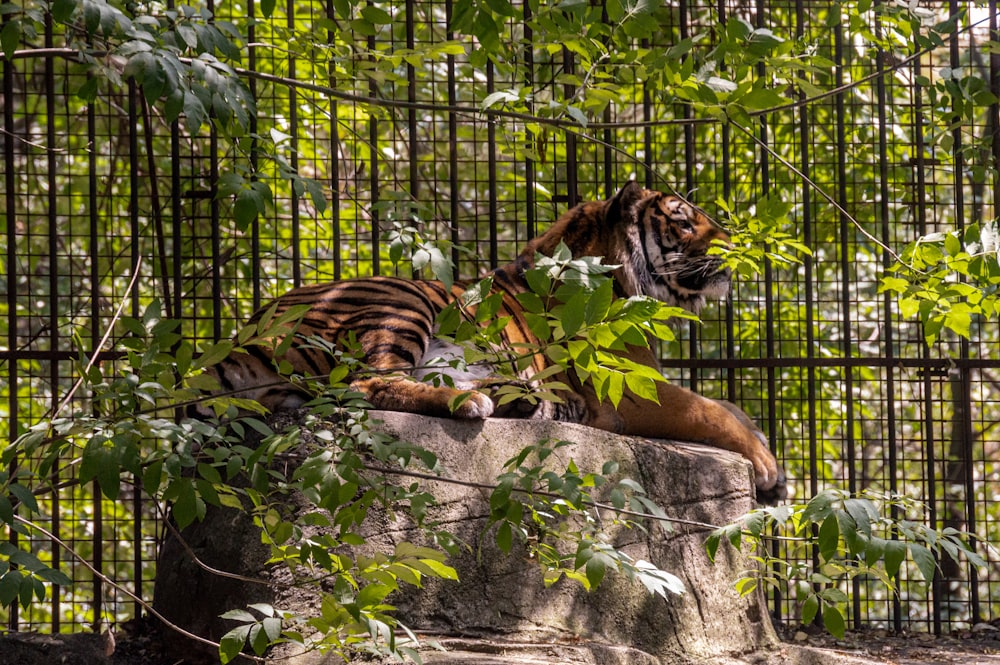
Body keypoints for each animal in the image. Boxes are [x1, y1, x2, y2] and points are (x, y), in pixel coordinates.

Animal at [203, 179, 788, 500]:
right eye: (685, 224)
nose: (736, 247)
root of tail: (245, 332)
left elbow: (729, 406)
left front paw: (773, 465)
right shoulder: (627, 387)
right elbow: (708, 411)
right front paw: (765, 465)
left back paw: (519, 400)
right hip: (403, 300)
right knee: (369, 385)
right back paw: (474, 403)